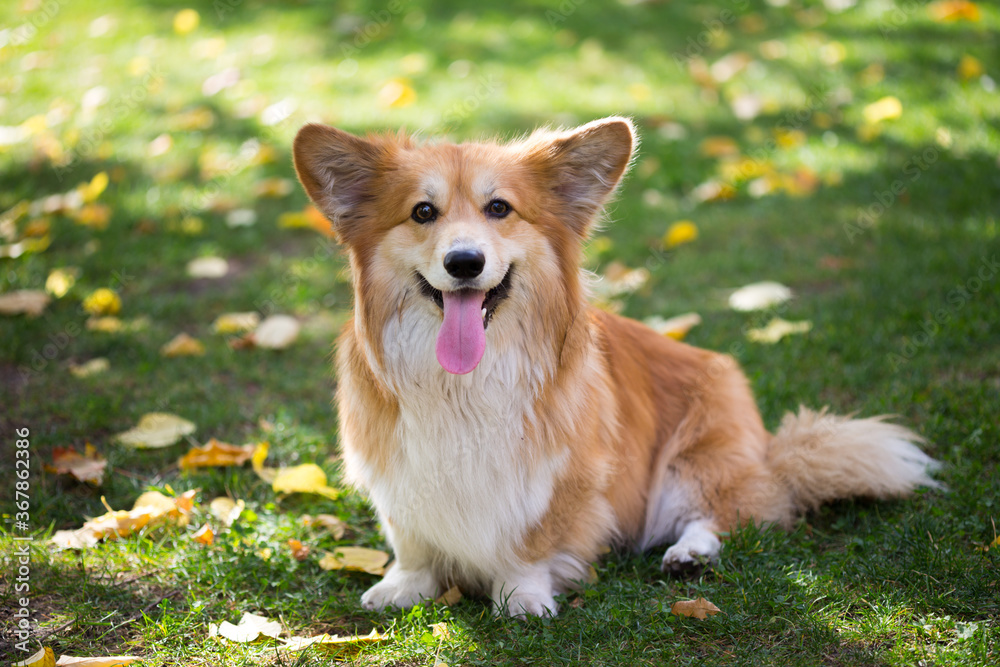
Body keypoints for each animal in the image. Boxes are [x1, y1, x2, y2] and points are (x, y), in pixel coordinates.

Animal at [292, 117, 936, 620]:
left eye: (499, 208)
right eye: (422, 213)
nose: (465, 261)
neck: (466, 385)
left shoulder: (562, 476)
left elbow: (532, 542)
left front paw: (522, 596)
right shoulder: (397, 471)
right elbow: (413, 542)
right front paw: (403, 585)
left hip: (699, 457)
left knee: (722, 512)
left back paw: (689, 554)